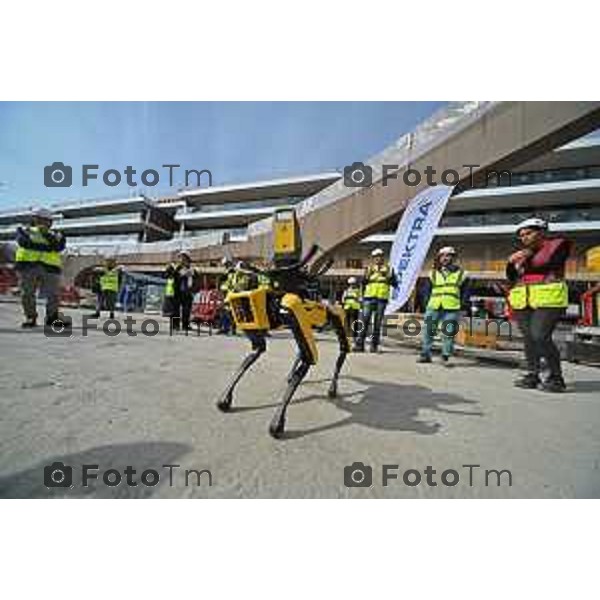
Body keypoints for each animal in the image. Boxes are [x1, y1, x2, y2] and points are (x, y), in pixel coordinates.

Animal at [216, 209, 350, 438]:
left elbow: (309, 357)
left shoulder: (291, 310)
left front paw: (277, 422)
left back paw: (333, 388)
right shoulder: (264, 325)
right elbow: (254, 353)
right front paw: (225, 398)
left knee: (342, 346)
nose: (230, 298)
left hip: (334, 317)